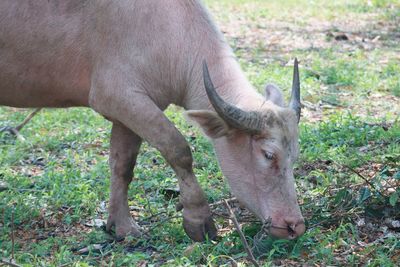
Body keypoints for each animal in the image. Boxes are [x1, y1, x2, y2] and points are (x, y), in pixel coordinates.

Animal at [0, 0, 304, 242]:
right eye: (268, 154)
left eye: (294, 155)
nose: (294, 225)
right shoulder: (117, 97)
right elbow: (178, 149)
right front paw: (198, 219)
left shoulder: (129, 111)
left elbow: (122, 165)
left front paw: (122, 226)